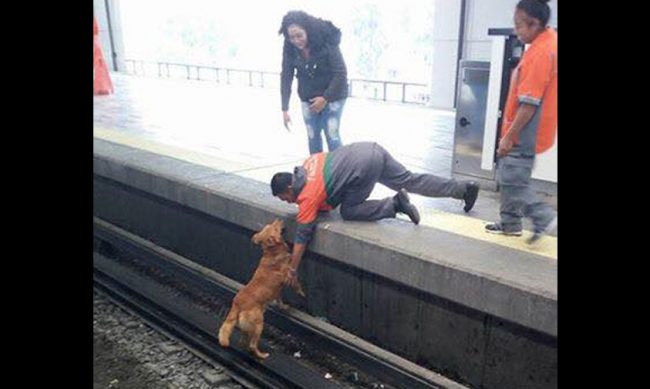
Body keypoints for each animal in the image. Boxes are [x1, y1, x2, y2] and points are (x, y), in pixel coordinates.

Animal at [215, 218, 302, 358]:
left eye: (270, 224)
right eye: (274, 227)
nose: (279, 219)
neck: (272, 252)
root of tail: (237, 305)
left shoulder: (278, 290)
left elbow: (280, 300)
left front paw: (283, 307)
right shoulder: (289, 276)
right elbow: (296, 284)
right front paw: (301, 292)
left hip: (247, 327)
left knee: (244, 340)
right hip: (259, 324)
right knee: (252, 345)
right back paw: (262, 355)